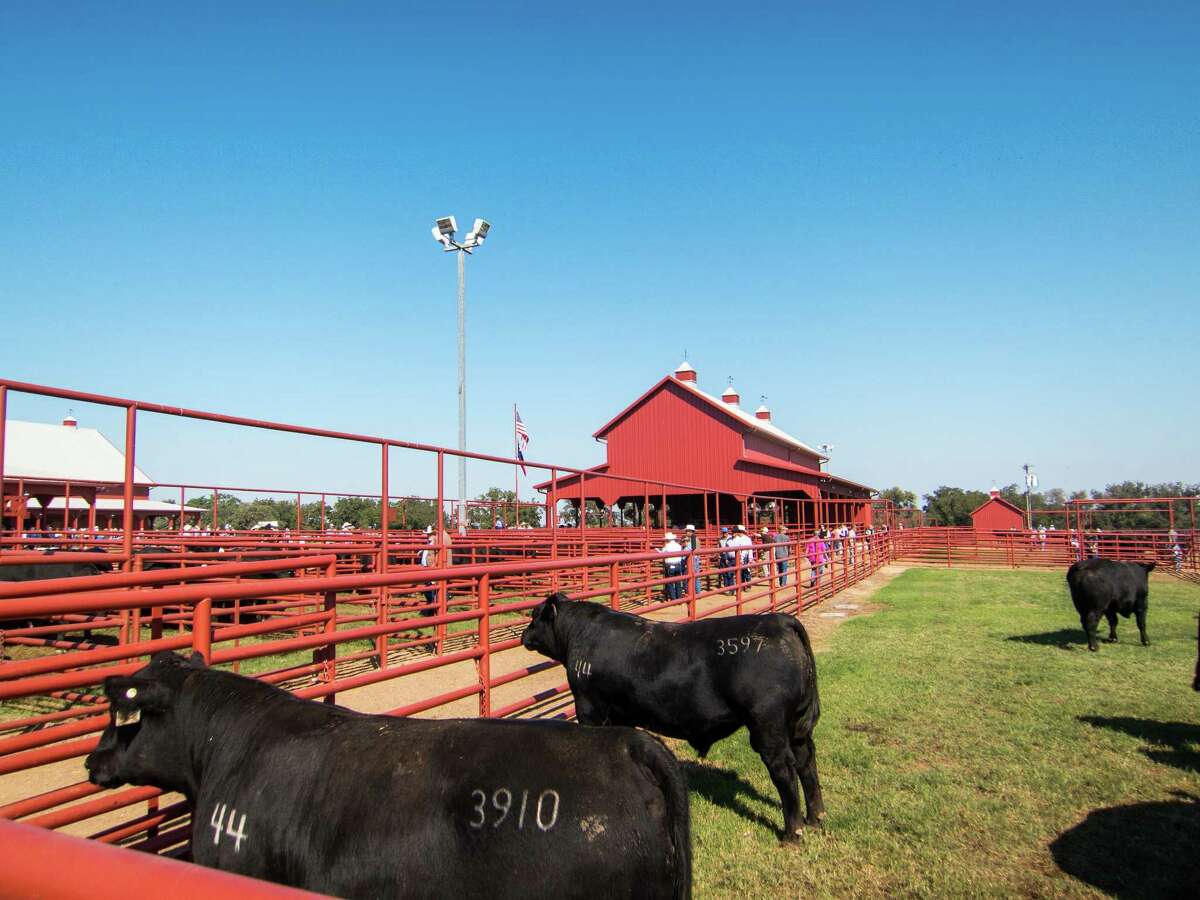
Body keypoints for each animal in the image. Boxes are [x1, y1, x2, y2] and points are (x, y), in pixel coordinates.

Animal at [520, 592, 823, 841]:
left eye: (535, 614)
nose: (524, 635)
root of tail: (780, 621)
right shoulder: (623, 714)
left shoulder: (590, 709)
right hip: (798, 725)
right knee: (806, 761)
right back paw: (815, 818)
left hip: (767, 726)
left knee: (784, 769)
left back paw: (792, 832)